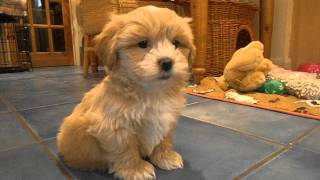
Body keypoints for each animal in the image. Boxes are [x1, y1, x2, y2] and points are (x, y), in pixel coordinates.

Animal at [57, 5, 195, 180]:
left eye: (176, 43)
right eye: (142, 43)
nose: (166, 62)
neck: (152, 92)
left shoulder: (167, 119)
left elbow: (164, 140)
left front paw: (166, 157)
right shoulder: (114, 126)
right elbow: (125, 150)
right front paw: (135, 169)